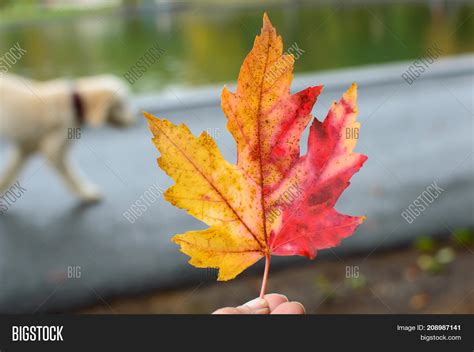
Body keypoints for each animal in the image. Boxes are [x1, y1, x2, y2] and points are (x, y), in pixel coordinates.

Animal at [0, 73, 136, 202]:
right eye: (123, 105)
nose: (132, 120)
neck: (74, 102)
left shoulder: (26, 147)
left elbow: (10, 171)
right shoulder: (53, 150)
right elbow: (72, 175)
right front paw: (88, 194)